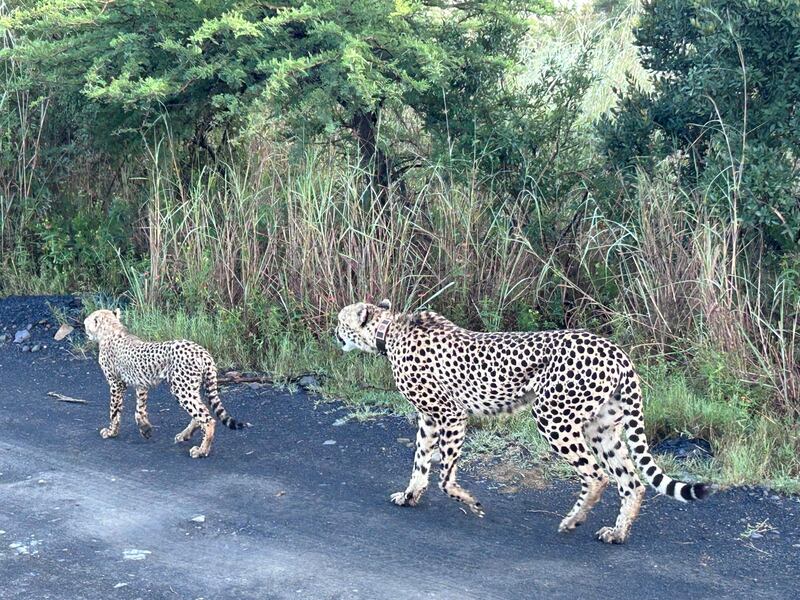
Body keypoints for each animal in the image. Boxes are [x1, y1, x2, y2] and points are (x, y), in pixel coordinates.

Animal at [83, 308, 246, 458]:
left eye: (87, 323)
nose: (84, 327)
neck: (111, 328)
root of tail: (202, 351)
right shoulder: (141, 383)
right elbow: (140, 409)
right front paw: (145, 429)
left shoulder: (116, 384)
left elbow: (114, 411)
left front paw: (111, 432)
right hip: (190, 387)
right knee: (201, 411)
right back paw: (185, 435)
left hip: (181, 388)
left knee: (207, 419)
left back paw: (202, 450)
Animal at [335, 299, 711, 543]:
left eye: (341, 321)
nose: (333, 333)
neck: (388, 331)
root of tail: (613, 348)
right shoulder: (429, 418)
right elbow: (420, 462)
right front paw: (410, 495)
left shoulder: (452, 414)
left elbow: (445, 475)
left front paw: (470, 503)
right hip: (602, 426)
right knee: (631, 481)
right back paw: (617, 532)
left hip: (553, 416)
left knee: (597, 475)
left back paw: (573, 520)